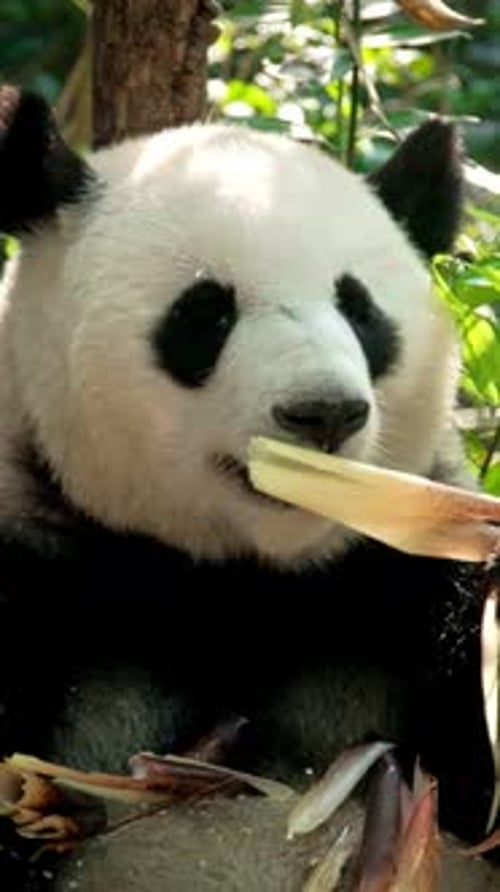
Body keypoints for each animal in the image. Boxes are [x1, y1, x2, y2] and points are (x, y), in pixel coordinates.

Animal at [0, 86, 497, 890]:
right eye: (206, 313)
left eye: (360, 310)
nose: (324, 412)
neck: (242, 578)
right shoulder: (42, 571)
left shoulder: (407, 583)